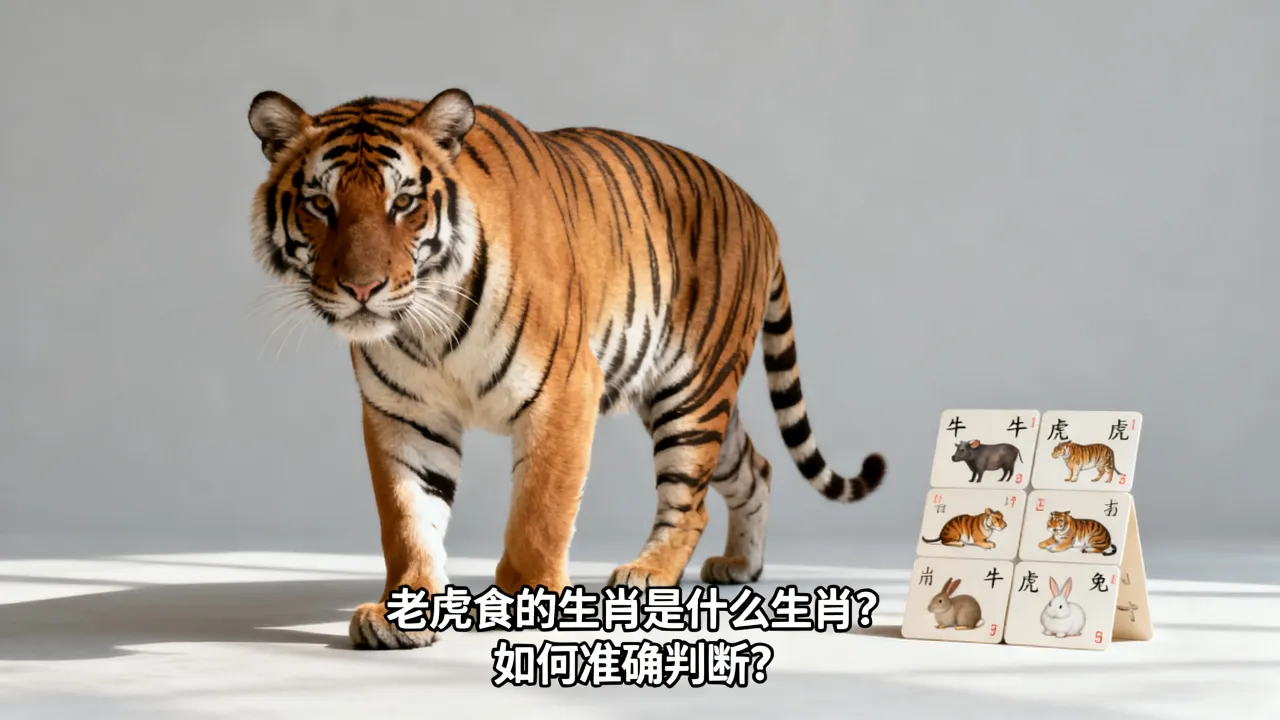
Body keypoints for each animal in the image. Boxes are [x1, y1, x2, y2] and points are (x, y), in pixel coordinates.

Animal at [245, 88, 887, 650]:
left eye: (402, 203)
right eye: (320, 204)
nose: (362, 289)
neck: (430, 326)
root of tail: (760, 212)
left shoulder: (563, 391)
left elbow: (540, 511)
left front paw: (528, 598)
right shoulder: (403, 414)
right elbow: (407, 519)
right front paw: (400, 612)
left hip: (693, 392)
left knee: (692, 500)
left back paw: (647, 575)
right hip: (695, 402)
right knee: (756, 468)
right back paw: (742, 566)